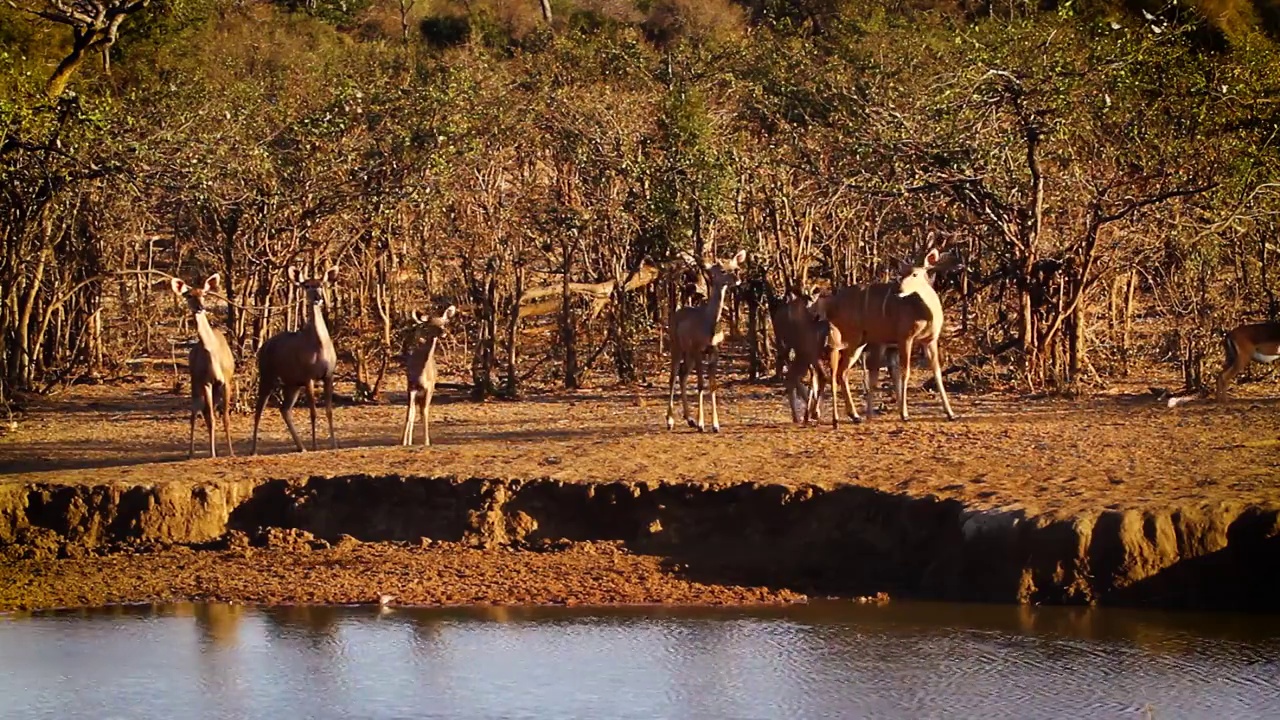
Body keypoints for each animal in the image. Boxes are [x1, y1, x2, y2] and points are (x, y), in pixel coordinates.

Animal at [168, 271, 236, 456]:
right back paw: (191, 453)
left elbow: (225, 417)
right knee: (195, 412)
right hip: (195, 382)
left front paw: (231, 452)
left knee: (204, 412)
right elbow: (211, 418)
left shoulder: (226, 381)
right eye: (189, 295)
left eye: (204, 294)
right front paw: (212, 454)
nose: (200, 307)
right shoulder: (206, 381)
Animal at [665, 245, 747, 430]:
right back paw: (670, 421)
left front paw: (715, 425)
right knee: (673, 376)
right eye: (722, 270)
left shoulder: (714, 350)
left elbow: (713, 385)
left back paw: (689, 419)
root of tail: (676, 314)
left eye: (735, 267)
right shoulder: (698, 348)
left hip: (688, 353)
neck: (709, 324)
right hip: (676, 346)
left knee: (682, 374)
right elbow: (701, 384)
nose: (737, 277)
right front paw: (702, 423)